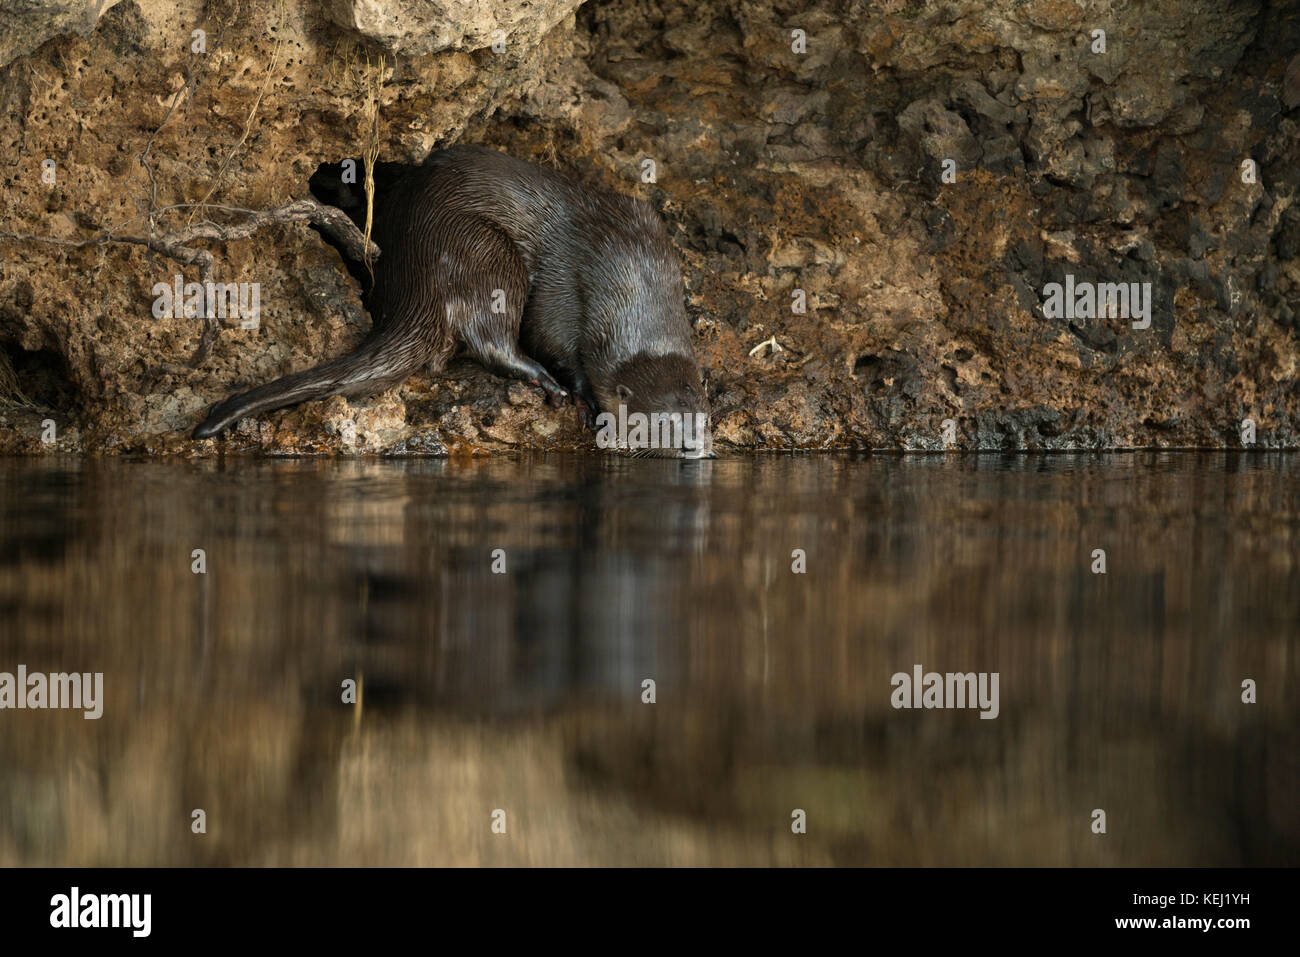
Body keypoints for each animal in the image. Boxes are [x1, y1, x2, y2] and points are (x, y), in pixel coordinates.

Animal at [195, 144, 712, 455]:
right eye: (657, 423)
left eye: (699, 418)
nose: (694, 447)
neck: (631, 263)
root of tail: (414, 279)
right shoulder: (566, 289)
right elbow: (557, 342)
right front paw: (583, 399)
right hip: (484, 252)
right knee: (492, 340)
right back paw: (545, 382)